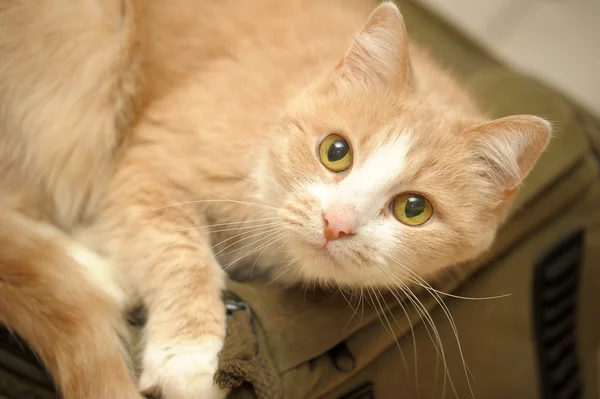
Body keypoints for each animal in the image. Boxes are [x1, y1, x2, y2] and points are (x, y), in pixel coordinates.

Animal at [0, 0, 552, 398]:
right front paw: (189, 356)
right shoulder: (152, 158)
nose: (336, 223)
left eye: (413, 209)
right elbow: (176, 249)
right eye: (336, 152)